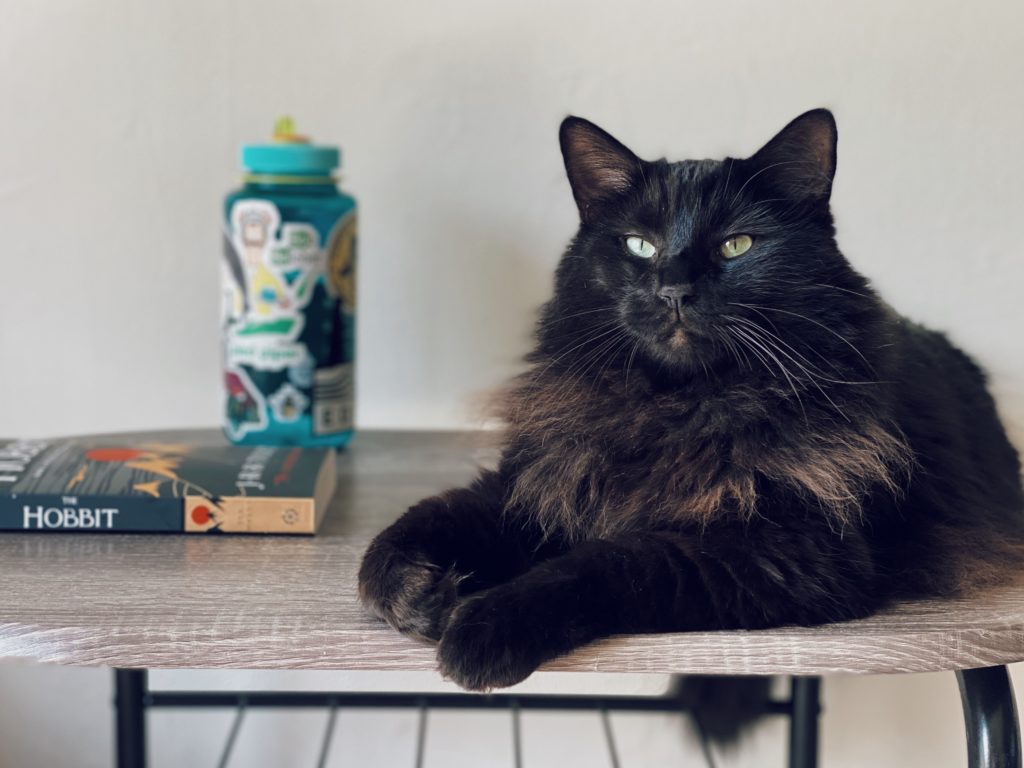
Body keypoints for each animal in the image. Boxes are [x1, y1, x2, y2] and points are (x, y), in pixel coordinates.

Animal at [356, 111, 1019, 696]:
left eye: (737, 245)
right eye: (639, 246)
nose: (673, 290)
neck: (674, 409)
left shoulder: (794, 547)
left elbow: (608, 562)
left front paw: (483, 625)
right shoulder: (538, 482)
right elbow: (415, 528)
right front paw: (417, 592)